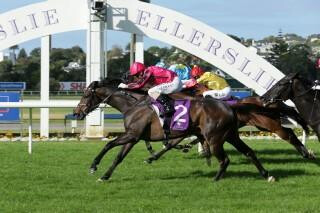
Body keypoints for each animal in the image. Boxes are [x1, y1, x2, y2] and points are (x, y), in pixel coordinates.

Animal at [74, 79, 274, 181]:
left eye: (86, 94)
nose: (77, 112)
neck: (133, 105)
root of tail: (229, 106)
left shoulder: (132, 134)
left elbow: (108, 145)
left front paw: (93, 166)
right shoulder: (133, 137)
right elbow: (118, 156)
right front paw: (105, 176)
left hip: (214, 138)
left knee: (225, 160)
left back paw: (215, 179)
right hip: (231, 135)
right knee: (249, 152)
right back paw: (267, 175)